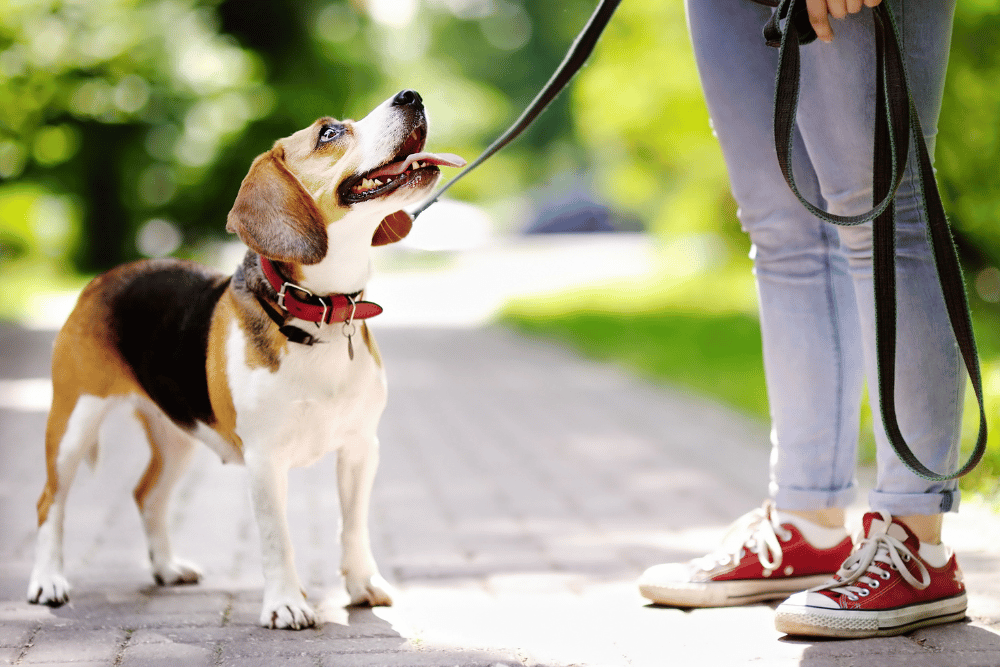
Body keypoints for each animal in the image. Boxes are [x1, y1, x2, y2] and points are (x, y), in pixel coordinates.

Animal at [27, 90, 464, 632]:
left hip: (177, 435)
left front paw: (362, 585)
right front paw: (287, 604)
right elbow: (278, 539)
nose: (411, 96)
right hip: (73, 422)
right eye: (329, 133)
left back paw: (166, 567)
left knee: (147, 496)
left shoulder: (361, 448)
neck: (319, 313)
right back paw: (47, 581)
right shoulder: (265, 459)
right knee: (50, 502)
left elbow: (353, 526)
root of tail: (105, 278)